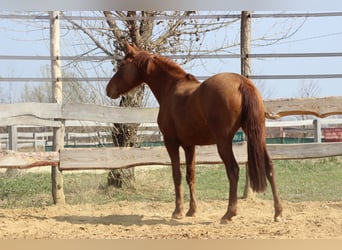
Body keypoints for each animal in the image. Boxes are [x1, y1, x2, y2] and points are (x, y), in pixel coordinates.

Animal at [107, 42, 284, 223]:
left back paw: (229, 213)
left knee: (233, 171)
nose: (109, 89)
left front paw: (177, 211)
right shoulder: (189, 146)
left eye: (122, 65)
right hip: (258, 135)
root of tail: (242, 83)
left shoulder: (171, 143)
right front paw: (192, 210)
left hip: (224, 143)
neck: (171, 88)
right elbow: (190, 175)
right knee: (269, 166)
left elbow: (177, 175)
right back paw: (278, 212)